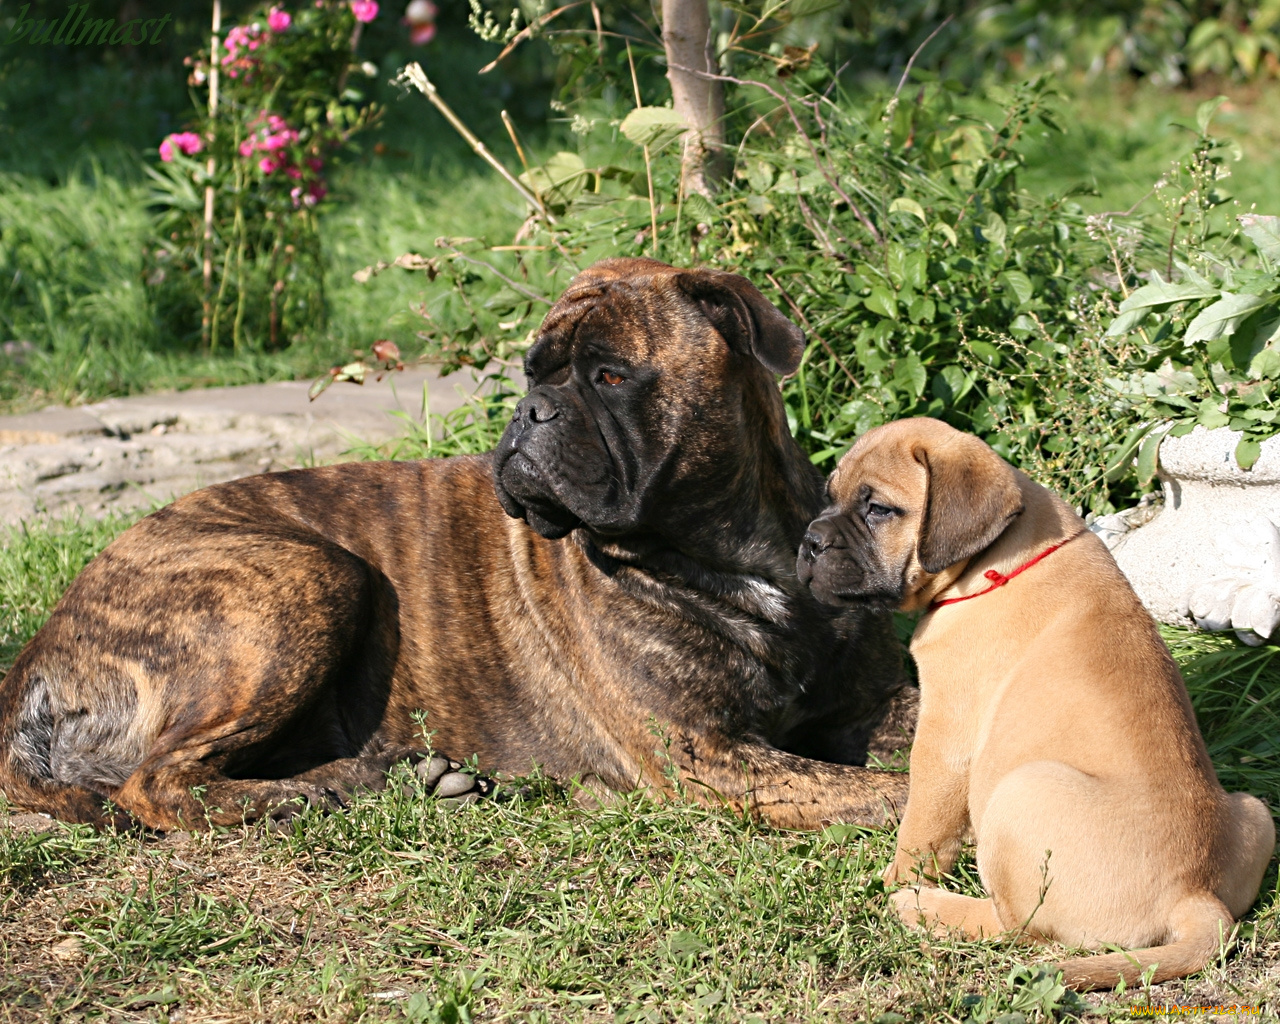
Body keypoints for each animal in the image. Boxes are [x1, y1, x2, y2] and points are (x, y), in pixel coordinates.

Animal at [2, 258, 921, 829]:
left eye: (610, 375)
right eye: (532, 372)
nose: (530, 412)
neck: (735, 553)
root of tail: (37, 658)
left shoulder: (876, 704)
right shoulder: (709, 753)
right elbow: (888, 791)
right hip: (305, 579)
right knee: (156, 782)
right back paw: (316, 793)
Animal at [793, 417, 1274, 993]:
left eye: (879, 510)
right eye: (830, 496)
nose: (809, 541)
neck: (998, 558)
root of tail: (1194, 896)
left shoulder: (946, 735)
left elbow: (922, 829)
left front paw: (894, 879)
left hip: (1021, 789)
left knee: (1015, 926)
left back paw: (920, 905)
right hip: (1257, 809)